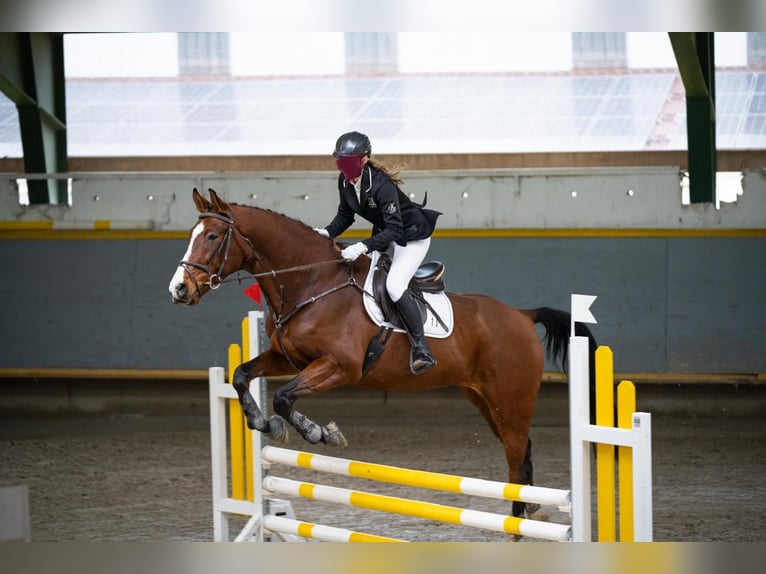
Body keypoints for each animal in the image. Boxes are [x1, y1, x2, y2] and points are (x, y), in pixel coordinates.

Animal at [170, 190, 600, 528]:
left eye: (212, 236)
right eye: (191, 236)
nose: (179, 289)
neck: (312, 283)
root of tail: (523, 315)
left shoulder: (340, 367)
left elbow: (284, 397)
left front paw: (318, 432)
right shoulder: (286, 358)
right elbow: (242, 375)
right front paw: (263, 423)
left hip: (511, 400)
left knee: (516, 454)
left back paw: (518, 520)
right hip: (484, 400)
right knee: (520, 451)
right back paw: (527, 513)